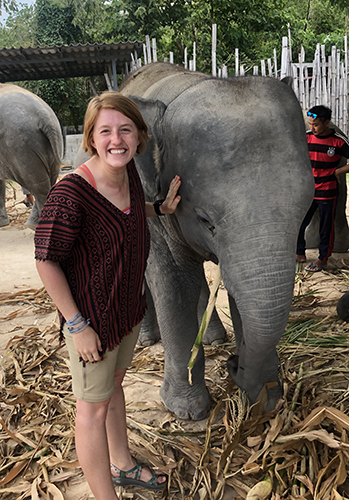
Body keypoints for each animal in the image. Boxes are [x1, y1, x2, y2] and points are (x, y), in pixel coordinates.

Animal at [0, 83, 63, 229]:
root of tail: (42, 113)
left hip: (20, 146)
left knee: (38, 186)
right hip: (51, 142)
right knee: (49, 180)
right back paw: (32, 224)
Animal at [116, 62, 312, 420]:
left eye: (304, 212)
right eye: (206, 220)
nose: (235, 365)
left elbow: (238, 290)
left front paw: (267, 396)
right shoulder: (152, 207)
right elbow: (176, 283)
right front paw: (188, 410)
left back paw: (215, 338)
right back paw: (148, 339)